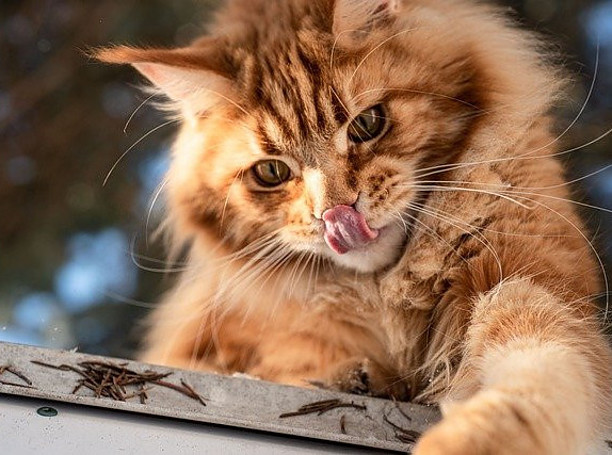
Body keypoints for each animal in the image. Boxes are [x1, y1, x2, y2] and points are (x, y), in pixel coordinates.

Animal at [98, 1, 608, 454]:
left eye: (367, 123)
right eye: (271, 172)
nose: (336, 214)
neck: (385, 293)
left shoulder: (523, 281)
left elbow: (531, 380)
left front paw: (471, 441)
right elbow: (281, 364)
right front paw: (357, 378)